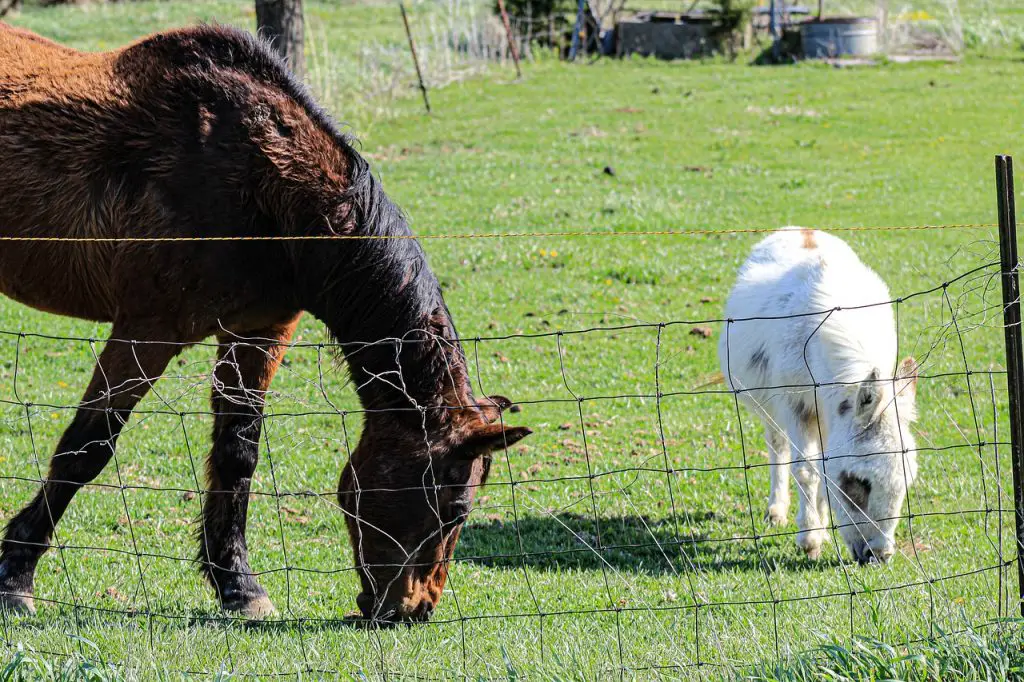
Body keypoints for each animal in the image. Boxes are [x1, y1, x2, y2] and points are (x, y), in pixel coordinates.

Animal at [0, 22, 528, 622]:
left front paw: (239, 586)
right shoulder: (148, 328)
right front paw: (15, 576)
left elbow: (238, 451)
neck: (258, 181)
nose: (413, 609)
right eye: (455, 508)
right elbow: (87, 447)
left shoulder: (260, 330)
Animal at [720, 228, 921, 561]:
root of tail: (800, 229)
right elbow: (806, 469)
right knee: (778, 447)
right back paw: (777, 511)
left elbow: (825, 466)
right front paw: (809, 539)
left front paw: (821, 527)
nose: (879, 556)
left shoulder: (833, 413)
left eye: (906, 481)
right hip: (769, 405)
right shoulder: (795, 404)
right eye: (859, 482)